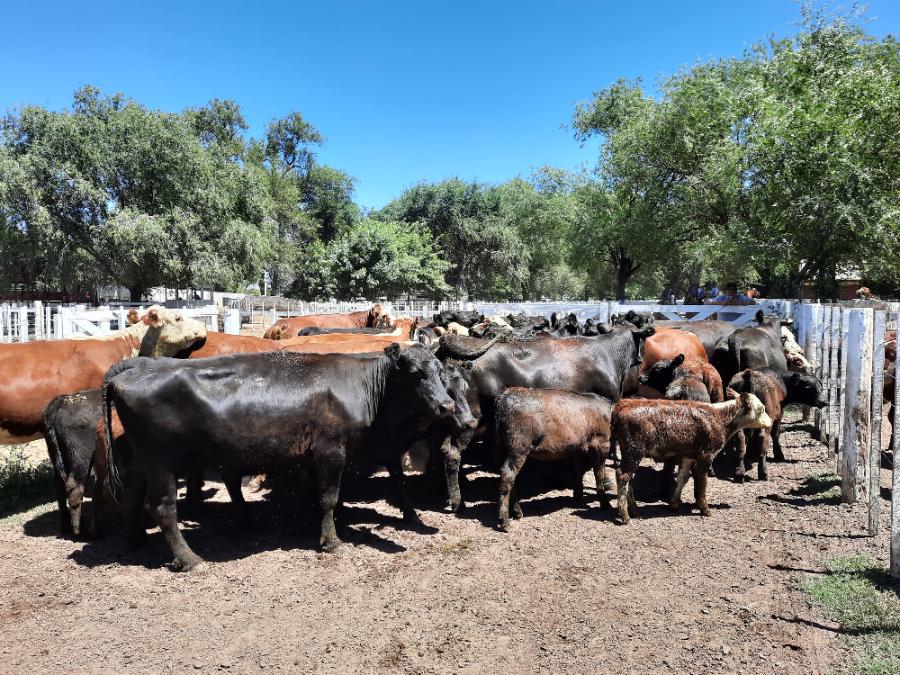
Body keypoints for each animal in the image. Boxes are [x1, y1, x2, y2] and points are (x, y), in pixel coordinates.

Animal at [103, 344, 455, 571]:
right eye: (415, 373)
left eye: (441, 372)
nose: (447, 406)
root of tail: (136, 367)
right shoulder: (330, 448)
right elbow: (329, 497)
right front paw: (331, 541)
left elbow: (323, 496)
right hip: (162, 459)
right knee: (162, 507)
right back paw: (191, 560)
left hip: (143, 458)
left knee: (131, 493)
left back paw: (135, 539)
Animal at [494, 388, 613, 531]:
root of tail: (506, 395)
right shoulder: (601, 444)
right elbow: (599, 474)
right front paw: (605, 503)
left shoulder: (579, 449)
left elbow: (578, 471)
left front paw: (578, 496)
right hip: (518, 447)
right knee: (507, 475)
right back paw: (504, 521)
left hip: (504, 449)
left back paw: (517, 512)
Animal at [612, 394, 772, 524]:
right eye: (762, 409)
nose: (771, 422)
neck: (720, 417)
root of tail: (623, 404)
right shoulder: (705, 455)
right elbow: (701, 483)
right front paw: (705, 509)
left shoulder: (688, 455)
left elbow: (683, 478)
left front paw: (674, 503)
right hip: (633, 452)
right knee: (622, 477)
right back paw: (625, 515)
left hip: (631, 455)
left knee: (629, 479)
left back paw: (635, 511)